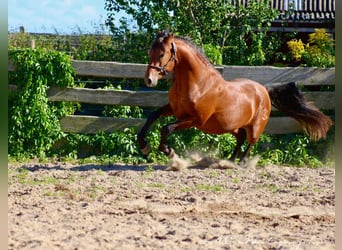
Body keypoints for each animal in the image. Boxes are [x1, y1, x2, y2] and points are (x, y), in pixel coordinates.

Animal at [136, 30, 332, 164]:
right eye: (149, 53)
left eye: (162, 54)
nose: (149, 80)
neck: (198, 85)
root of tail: (263, 89)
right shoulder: (173, 109)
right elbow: (152, 115)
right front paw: (144, 146)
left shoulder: (194, 119)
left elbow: (166, 129)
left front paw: (168, 151)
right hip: (233, 125)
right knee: (241, 138)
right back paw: (229, 160)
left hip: (255, 125)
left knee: (251, 140)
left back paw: (242, 162)